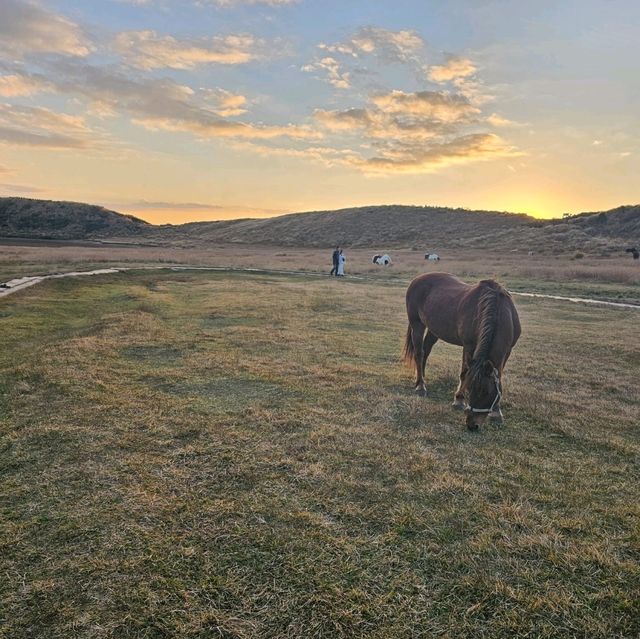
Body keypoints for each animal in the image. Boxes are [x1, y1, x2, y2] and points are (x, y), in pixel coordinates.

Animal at [404, 272, 520, 432]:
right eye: (469, 389)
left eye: (486, 392)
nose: (472, 425)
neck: (499, 311)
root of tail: (417, 279)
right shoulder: (469, 346)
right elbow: (464, 373)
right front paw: (458, 400)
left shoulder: (507, 351)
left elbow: (499, 377)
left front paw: (497, 412)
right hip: (417, 324)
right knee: (419, 353)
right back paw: (420, 385)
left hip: (434, 330)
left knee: (426, 351)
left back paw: (421, 377)